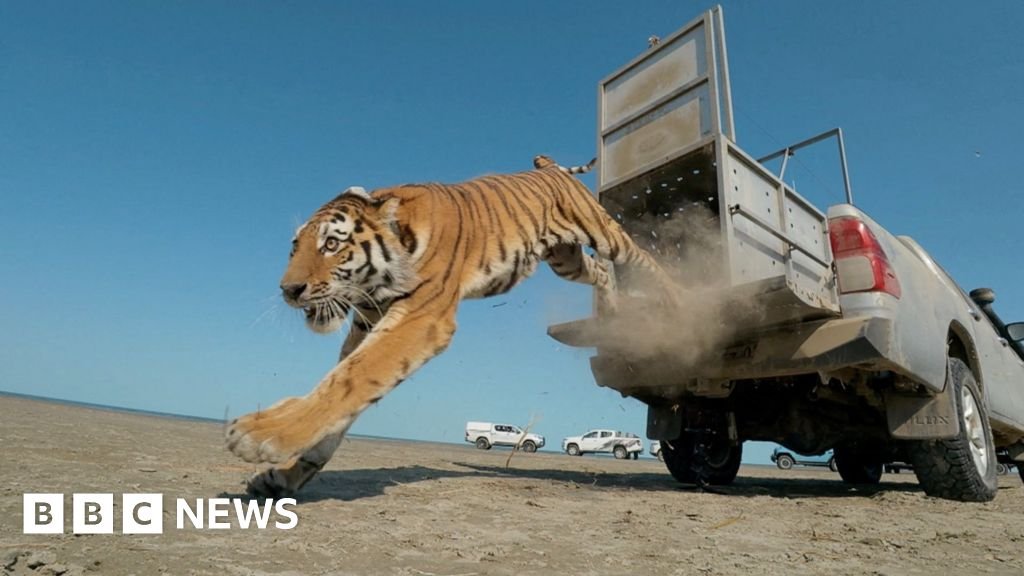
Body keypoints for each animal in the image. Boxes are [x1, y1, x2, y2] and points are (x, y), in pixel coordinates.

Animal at [228, 155, 680, 497]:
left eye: (332, 244)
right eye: (295, 246)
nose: (289, 290)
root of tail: (549, 167)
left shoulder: (421, 318)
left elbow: (349, 379)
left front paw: (262, 433)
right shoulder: (366, 325)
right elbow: (342, 389)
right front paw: (284, 476)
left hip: (601, 230)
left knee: (641, 259)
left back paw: (676, 300)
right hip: (565, 258)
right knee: (601, 271)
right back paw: (611, 314)